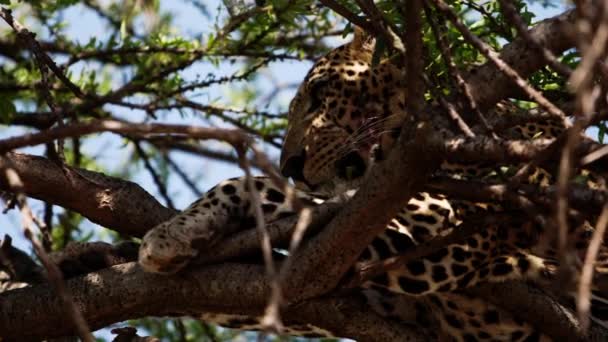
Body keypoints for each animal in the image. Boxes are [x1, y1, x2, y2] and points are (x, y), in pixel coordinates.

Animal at [139, 27, 608, 342]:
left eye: (320, 93)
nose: (290, 165)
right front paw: (178, 235)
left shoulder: (440, 222)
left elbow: (262, 188)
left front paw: (168, 233)